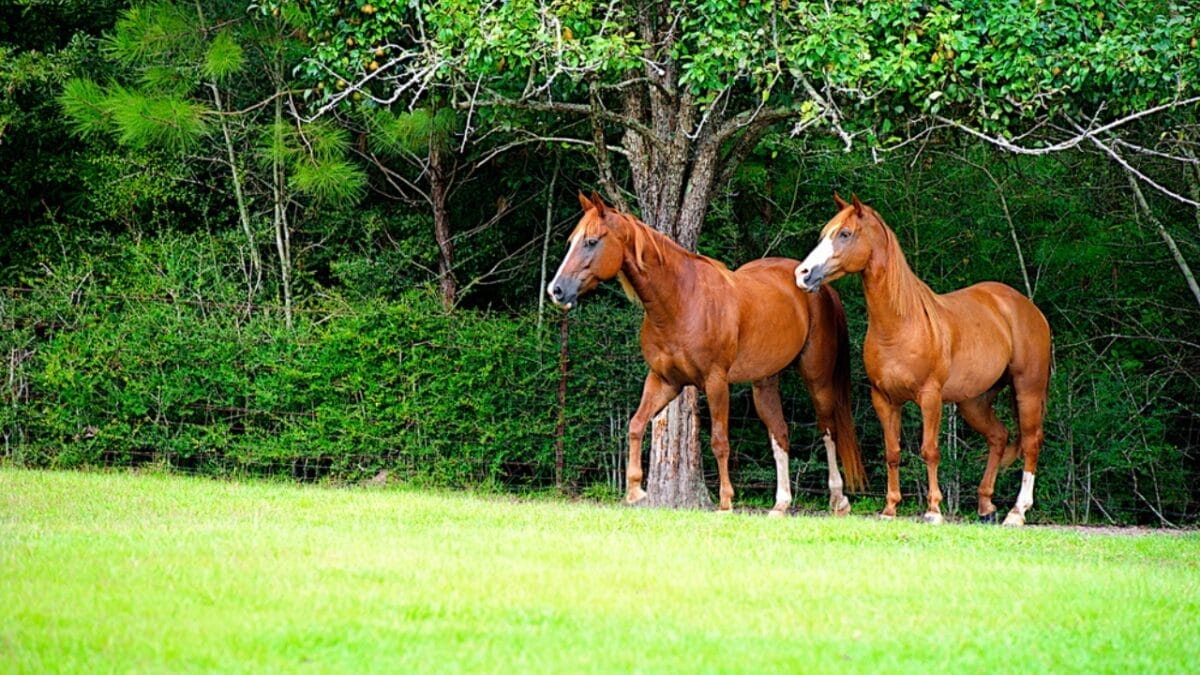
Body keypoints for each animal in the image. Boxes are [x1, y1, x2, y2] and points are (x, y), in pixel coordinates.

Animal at [547, 191, 865, 515]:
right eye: (572, 241)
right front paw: (636, 490)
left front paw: (725, 501)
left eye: (591, 241)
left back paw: (838, 499)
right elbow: (636, 424)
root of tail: (817, 286)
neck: (680, 301)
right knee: (780, 433)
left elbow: (719, 441)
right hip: (764, 382)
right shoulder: (664, 381)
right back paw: (781, 504)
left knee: (828, 430)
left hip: (817, 378)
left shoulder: (715, 382)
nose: (556, 290)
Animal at [796, 194, 1051, 526]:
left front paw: (933, 510)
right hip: (975, 401)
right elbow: (893, 452)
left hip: (1027, 390)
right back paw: (986, 506)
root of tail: (1027, 308)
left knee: (1031, 443)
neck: (901, 324)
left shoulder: (929, 397)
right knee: (999, 437)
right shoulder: (884, 400)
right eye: (824, 234)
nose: (802, 274)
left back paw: (1017, 512)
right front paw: (890, 509)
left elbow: (930, 450)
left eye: (845, 234)